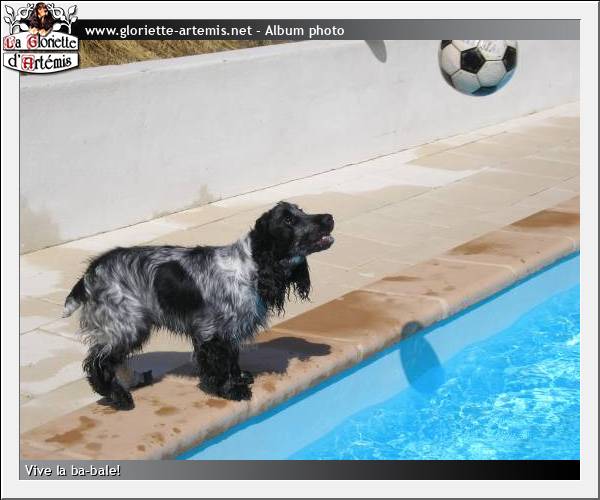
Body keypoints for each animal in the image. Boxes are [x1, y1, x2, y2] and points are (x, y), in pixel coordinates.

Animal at [63, 202, 334, 410]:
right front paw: (231, 390)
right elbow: (219, 364)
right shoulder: (213, 332)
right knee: (98, 362)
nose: (329, 217)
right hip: (126, 323)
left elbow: (232, 359)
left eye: (301, 210)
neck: (252, 267)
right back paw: (119, 397)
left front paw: (240, 378)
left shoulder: (228, 331)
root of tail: (91, 271)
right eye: (288, 219)